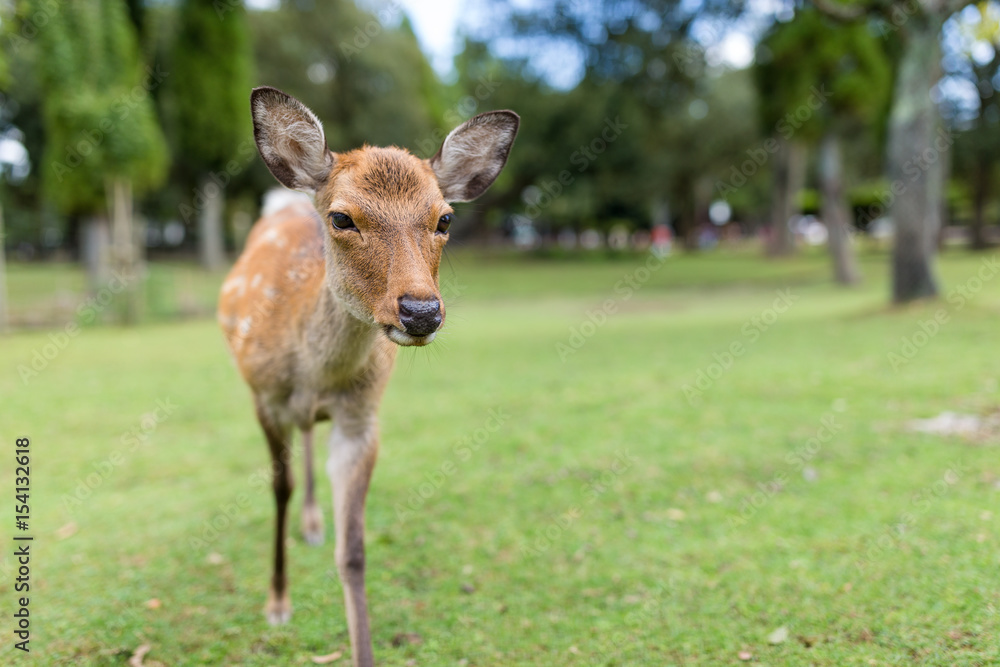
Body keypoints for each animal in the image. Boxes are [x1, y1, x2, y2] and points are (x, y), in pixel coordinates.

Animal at [216, 86, 520, 664]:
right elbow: (280, 488)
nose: (421, 312)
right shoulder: (262, 397)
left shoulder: (362, 418)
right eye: (341, 218)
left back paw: (315, 523)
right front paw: (277, 603)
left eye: (445, 219)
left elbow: (354, 550)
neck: (314, 372)